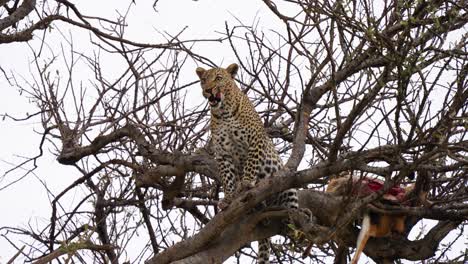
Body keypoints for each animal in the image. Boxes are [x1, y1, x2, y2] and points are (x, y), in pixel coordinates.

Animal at [197, 63, 300, 262]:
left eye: (219, 78)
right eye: (204, 80)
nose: (207, 90)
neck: (224, 113)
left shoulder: (255, 141)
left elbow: (251, 164)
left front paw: (246, 183)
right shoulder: (223, 154)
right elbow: (227, 178)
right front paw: (228, 198)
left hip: (288, 187)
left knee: (292, 209)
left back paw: (291, 221)